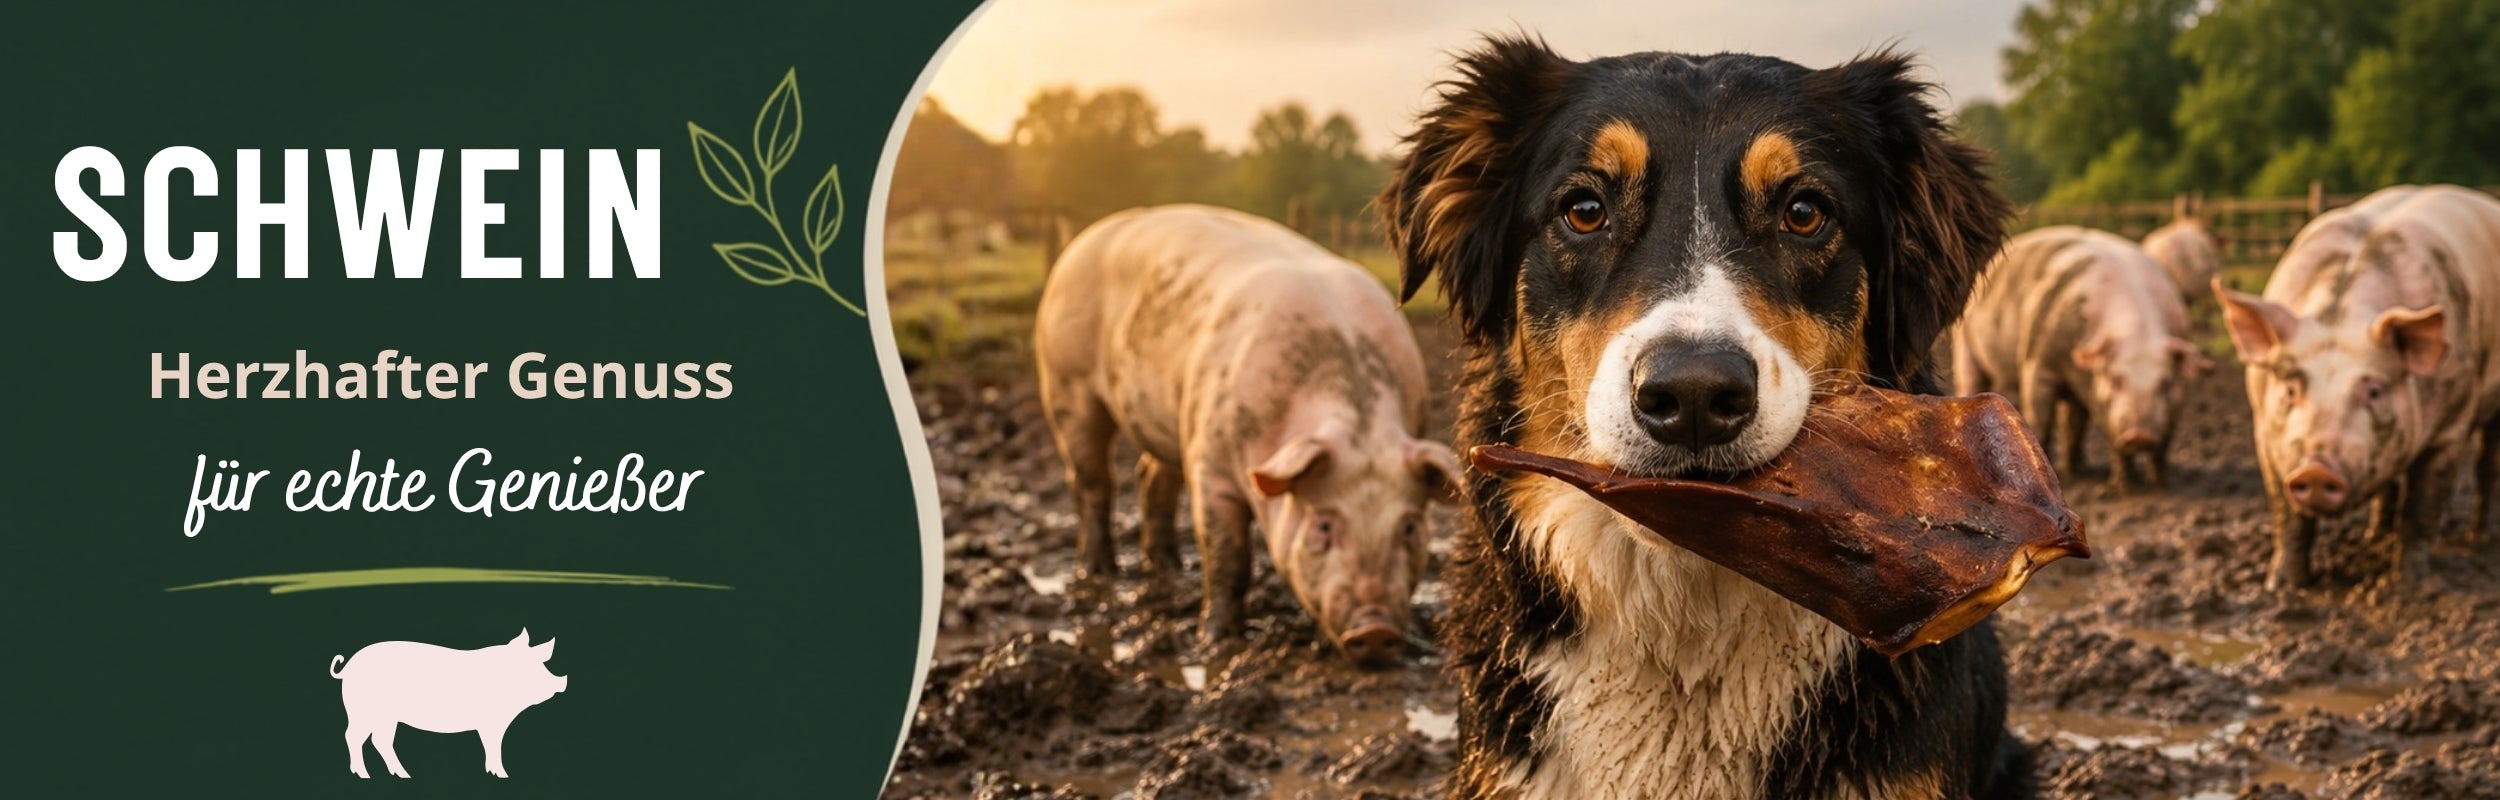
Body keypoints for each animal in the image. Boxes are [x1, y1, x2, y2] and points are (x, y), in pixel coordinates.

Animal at [331, 629, 569, 778]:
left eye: (542, 664)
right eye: (533, 665)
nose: (563, 681)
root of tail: (347, 667)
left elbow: (492, 747)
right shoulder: (490, 722)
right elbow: (494, 746)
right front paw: (502, 775)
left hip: (386, 717)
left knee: (380, 741)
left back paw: (403, 775)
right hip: (362, 711)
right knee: (353, 736)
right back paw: (364, 775)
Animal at [1034, 204, 1462, 665]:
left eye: (1410, 527)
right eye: (1323, 525)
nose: (1377, 629)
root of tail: (1084, 240)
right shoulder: (1212, 466)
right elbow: (1229, 559)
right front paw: (1218, 643)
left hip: (1172, 423)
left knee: (1150, 479)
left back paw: (1170, 567)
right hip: (1067, 386)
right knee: (1093, 480)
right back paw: (1100, 571)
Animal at [1952, 225, 2214, 489]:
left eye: (2165, 383)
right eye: (2115, 380)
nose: (2140, 435)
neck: (2137, 334)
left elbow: (2159, 445)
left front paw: (2155, 485)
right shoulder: (2038, 360)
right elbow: (2039, 417)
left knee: (2073, 418)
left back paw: (2077, 469)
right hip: (1963, 346)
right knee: (1971, 384)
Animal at [2214, 185, 2500, 591]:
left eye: (2375, 391)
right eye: (2290, 389)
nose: (2316, 470)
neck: (2342, 315)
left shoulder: (2452, 427)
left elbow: (2423, 510)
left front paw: (2407, 588)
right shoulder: (2263, 432)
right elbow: (2287, 516)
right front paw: (2282, 587)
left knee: (2487, 464)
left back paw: (2479, 538)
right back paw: (2374, 536)